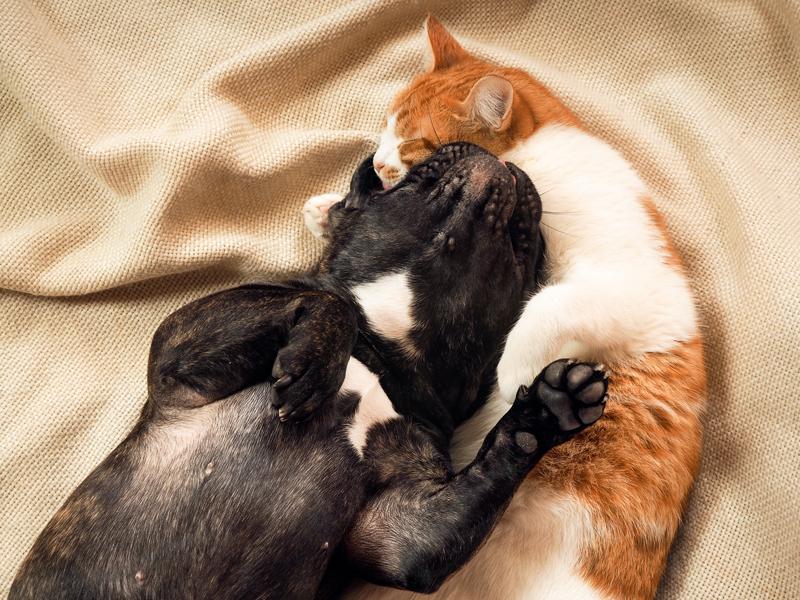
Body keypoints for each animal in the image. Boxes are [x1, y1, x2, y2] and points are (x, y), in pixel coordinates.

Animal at [11, 143, 608, 599]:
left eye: (534, 250)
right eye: (404, 181)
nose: (495, 152)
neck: (386, 353)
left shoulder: (403, 532)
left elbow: (491, 468)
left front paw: (549, 409)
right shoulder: (183, 347)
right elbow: (330, 303)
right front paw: (316, 363)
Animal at [304, 16, 706, 600]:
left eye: (412, 144)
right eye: (384, 128)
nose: (377, 162)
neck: (541, 157)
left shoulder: (631, 287)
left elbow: (546, 306)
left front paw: (520, 375)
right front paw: (329, 209)